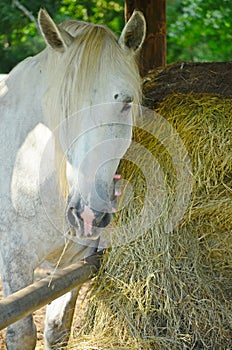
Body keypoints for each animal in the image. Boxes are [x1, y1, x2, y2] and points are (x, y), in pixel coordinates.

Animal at [0, 6, 145, 348]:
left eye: (126, 102)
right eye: (64, 105)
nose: (88, 214)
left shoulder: (74, 261)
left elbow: (58, 330)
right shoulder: (14, 263)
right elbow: (21, 333)